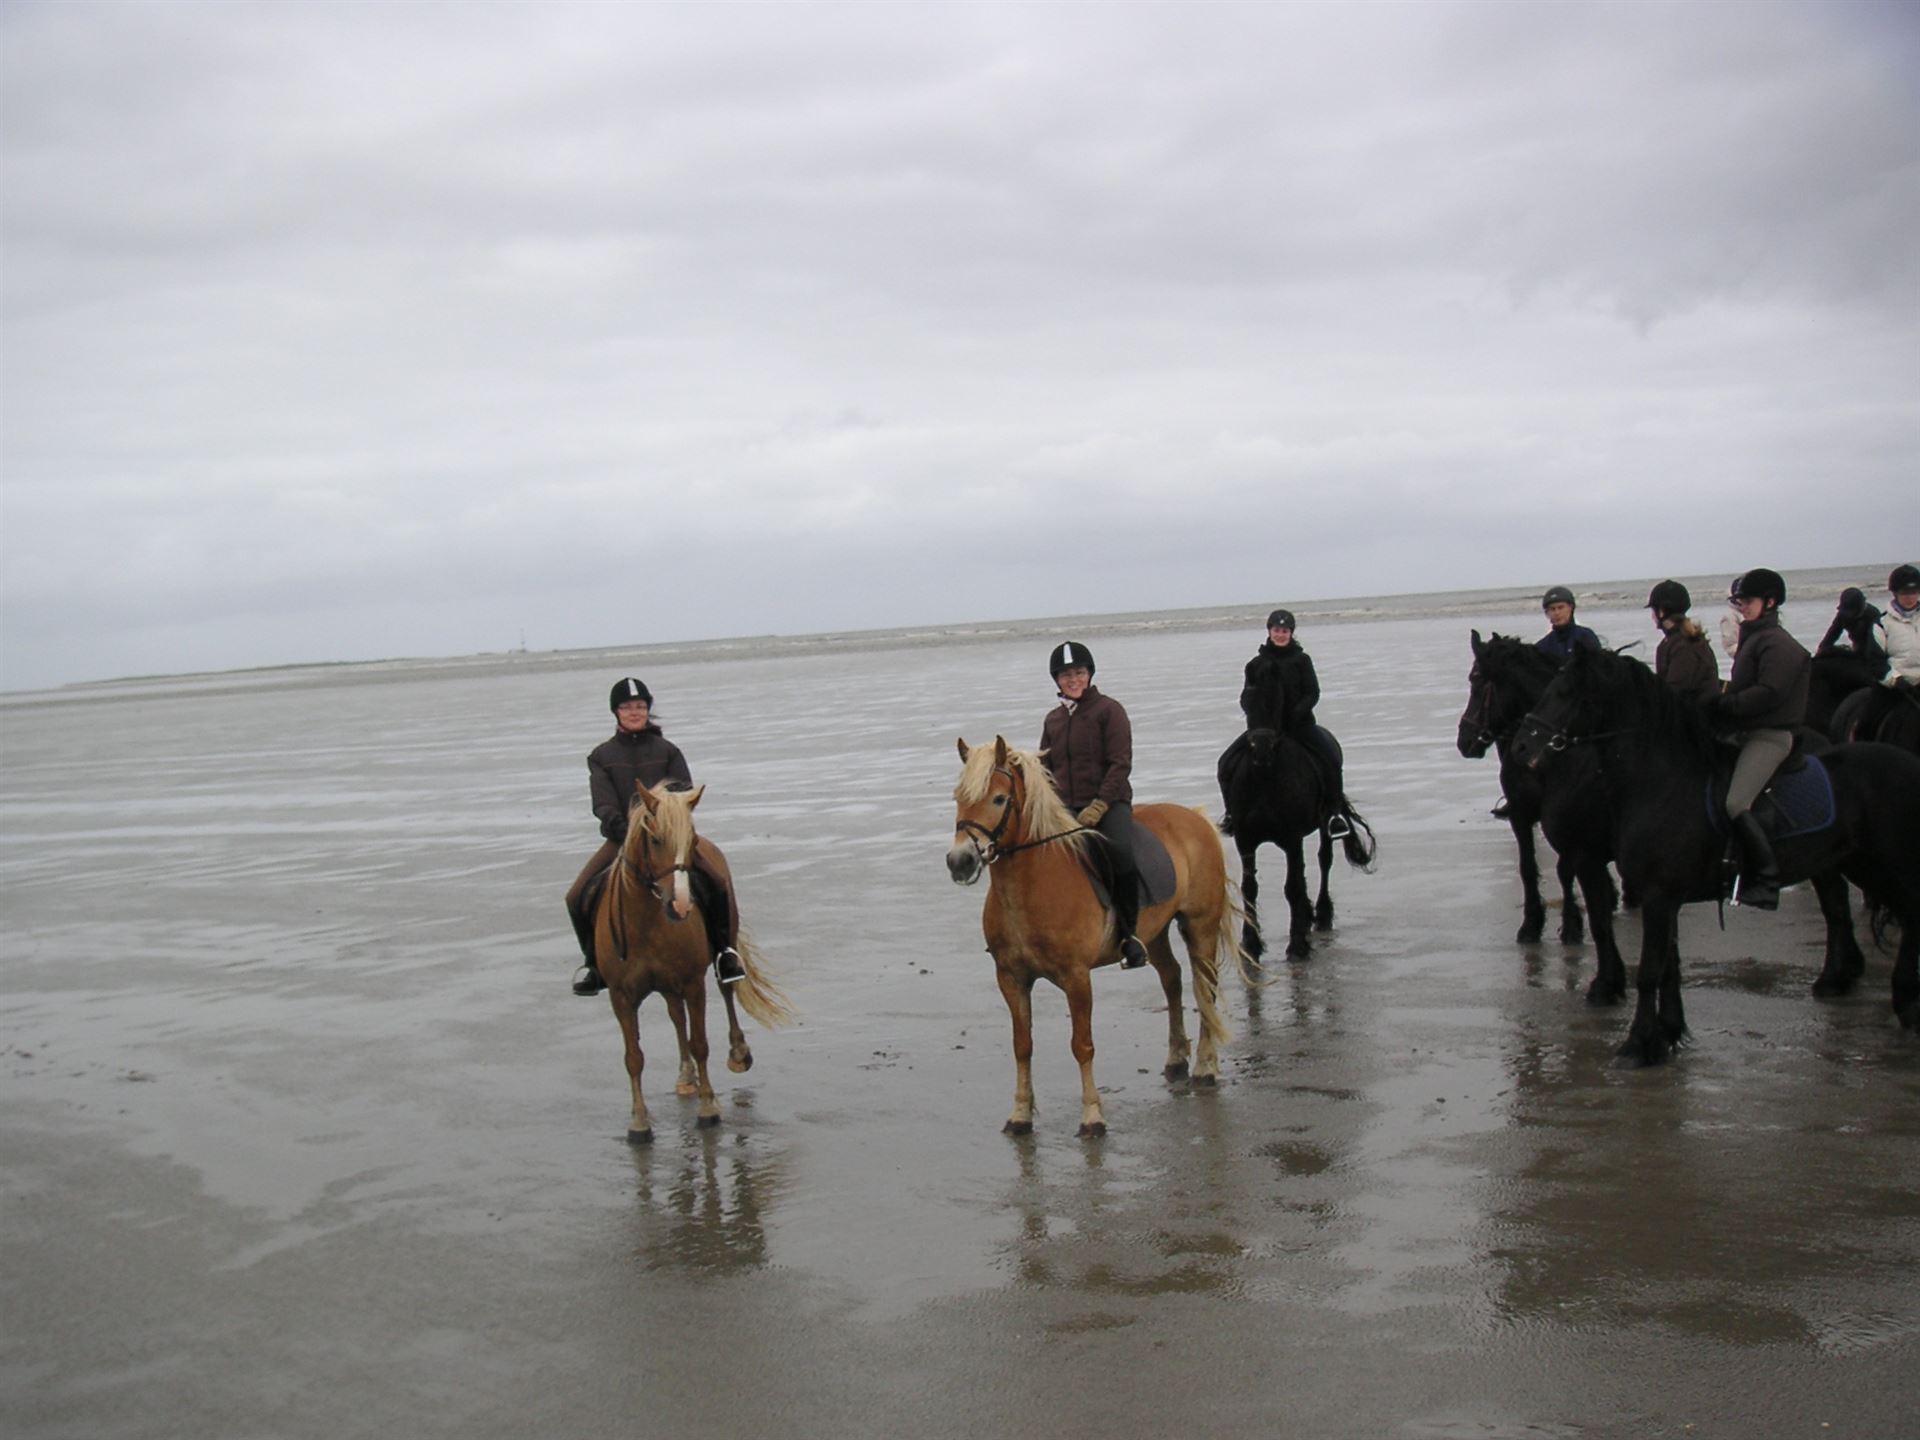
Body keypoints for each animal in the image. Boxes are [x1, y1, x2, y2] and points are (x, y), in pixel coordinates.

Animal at [593, 782, 792, 1142]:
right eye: (655, 840)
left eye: (692, 840)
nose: (682, 905)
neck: (647, 923)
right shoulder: (621, 996)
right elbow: (634, 1058)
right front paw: (639, 1122)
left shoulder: (692, 983)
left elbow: (700, 1043)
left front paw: (708, 1108)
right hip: (667, 987)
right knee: (676, 1016)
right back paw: (685, 1077)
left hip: (718, 953)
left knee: (725, 992)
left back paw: (738, 1053)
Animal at [946, 737, 1252, 1136]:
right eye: (958, 797)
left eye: (998, 799)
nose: (959, 862)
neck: (1031, 884)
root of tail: (1194, 817)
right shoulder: (1011, 978)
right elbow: (1022, 1045)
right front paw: (1020, 1114)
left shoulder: (1077, 978)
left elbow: (1082, 1045)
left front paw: (1092, 1116)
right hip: (1154, 933)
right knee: (1172, 981)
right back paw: (1175, 1059)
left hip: (1200, 925)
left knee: (1205, 989)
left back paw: (1205, 1066)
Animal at [1216, 727, 1375, 961]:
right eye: (1251, 740)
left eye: (1276, 740)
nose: (1261, 755)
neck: (1263, 785)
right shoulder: (1245, 841)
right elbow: (1249, 888)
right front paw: (1251, 943)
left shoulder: (1292, 839)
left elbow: (1292, 887)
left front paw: (1297, 945)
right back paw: (1307, 914)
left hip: (1324, 822)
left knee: (1324, 860)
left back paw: (1322, 914)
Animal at [1457, 631, 1627, 1004]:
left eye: (1476, 681)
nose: (1464, 741)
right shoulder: (1522, 814)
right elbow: (1527, 867)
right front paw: (1532, 924)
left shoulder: (1564, 824)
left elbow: (1564, 870)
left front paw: (1571, 924)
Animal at [1510, 648, 1920, 1065]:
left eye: (1563, 693)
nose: (1520, 747)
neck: (1661, 783)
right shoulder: (1663, 896)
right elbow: (1668, 966)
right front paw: (1668, 1032)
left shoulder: (1656, 894)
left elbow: (1650, 970)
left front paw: (1638, 1045)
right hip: (1861, 864)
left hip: (1890, 864)